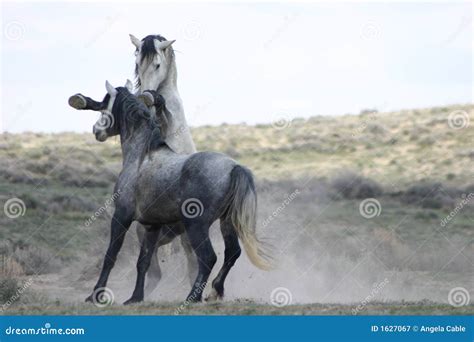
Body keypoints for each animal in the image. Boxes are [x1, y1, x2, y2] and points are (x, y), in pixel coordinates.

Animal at [68, 81, 272, 304]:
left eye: (105, 103)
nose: (97, 131)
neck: (142, 155)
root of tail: (234, 167)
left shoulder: (121, 216)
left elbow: (110, 256)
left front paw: (95, 295)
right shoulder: (152, 226)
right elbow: (144, 261)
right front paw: (135, 297)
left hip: (196, 226)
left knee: (208, 257)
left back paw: (193, 297)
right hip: (226, 222)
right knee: (232, 253)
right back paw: (214, 291)